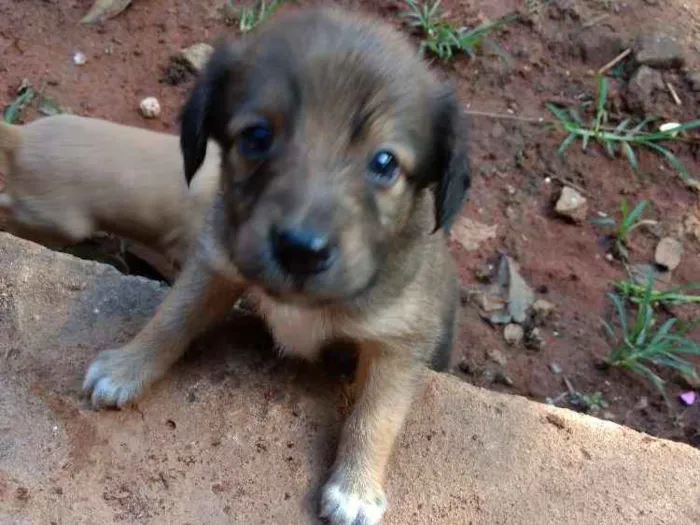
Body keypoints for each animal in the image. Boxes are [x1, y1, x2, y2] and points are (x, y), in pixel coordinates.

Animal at [86, 8, 470, 524]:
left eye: (385, 162)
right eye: (257, 137)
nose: (300, 250)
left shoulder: (401, 339)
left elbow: (376, 413)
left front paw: (355, 488)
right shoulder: (218, 258)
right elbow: (172, 317)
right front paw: (128, 366)